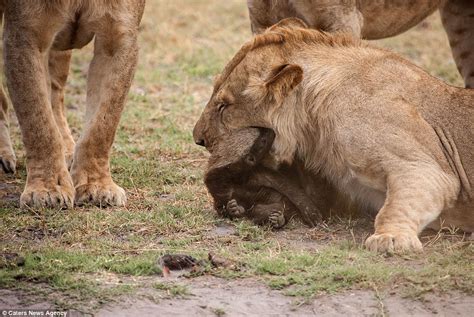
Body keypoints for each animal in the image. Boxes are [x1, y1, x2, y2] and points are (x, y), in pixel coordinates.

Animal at [0, 0, 144, 207]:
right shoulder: (24, 35)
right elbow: (38, 121)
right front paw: (46, 190)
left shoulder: (118, 38)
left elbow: (102, 126)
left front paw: (96, 186)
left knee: (55, 95)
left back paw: (68, 151)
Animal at [193, 19, 474, 252]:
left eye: (224, 106)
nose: (198, 140)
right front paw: (244, 205)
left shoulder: (427, 167)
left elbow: (400, 202)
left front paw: (391, 238)